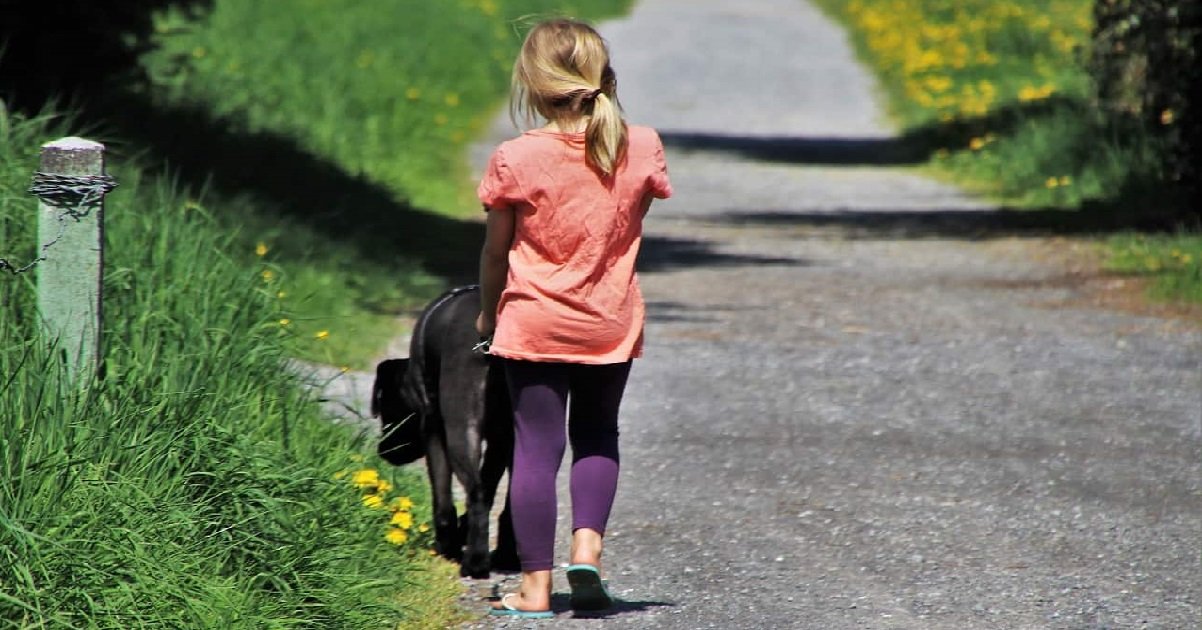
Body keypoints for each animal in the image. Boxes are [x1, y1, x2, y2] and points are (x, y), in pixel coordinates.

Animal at [367, 283, 514, 574]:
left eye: (386, 411)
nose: (383, 451)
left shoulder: (433, 428)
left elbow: (443, 498)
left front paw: (448, 544)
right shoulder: (499, 442)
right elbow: (490, 485)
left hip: (460, 428)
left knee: (476, 493)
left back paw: (475, 562)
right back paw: (507, 555)